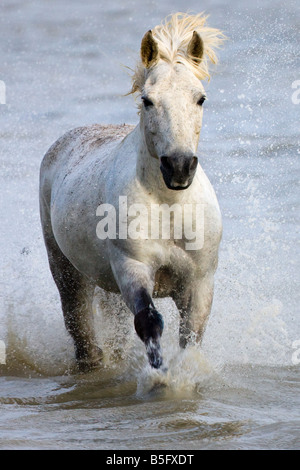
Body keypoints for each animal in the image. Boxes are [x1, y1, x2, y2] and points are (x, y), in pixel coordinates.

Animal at [38, 12, 224, 370]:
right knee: (82, 331)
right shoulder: (132, 267)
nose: (178, 166)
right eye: (147, 100)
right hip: (68, 272)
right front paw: (160, 375)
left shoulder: (198, 283)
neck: (170, 206)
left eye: (200, 98)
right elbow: (149, 321)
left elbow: (191, 336)